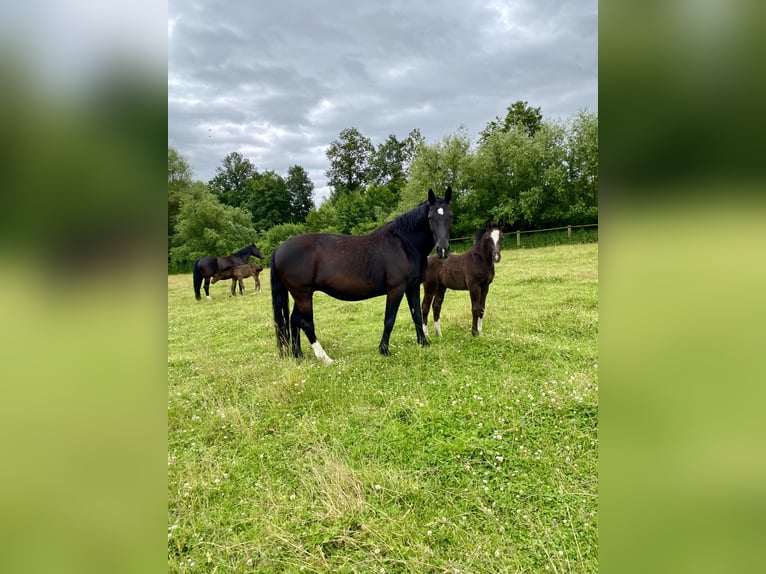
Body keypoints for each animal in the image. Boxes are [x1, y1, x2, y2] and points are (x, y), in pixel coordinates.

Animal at [272, 189, 456, 364]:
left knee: (294, 320)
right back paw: (325, 358)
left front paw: (423, 343)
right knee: (306, 323)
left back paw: (299, 356)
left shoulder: (412, 287)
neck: (404, 244)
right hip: (302, 294)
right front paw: (384, 350)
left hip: (301, 294)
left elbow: (416, 314)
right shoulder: (396, 289)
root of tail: (279, 249)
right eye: (430, 217)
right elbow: (389, 320)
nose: (443, 249)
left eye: (450, 216)